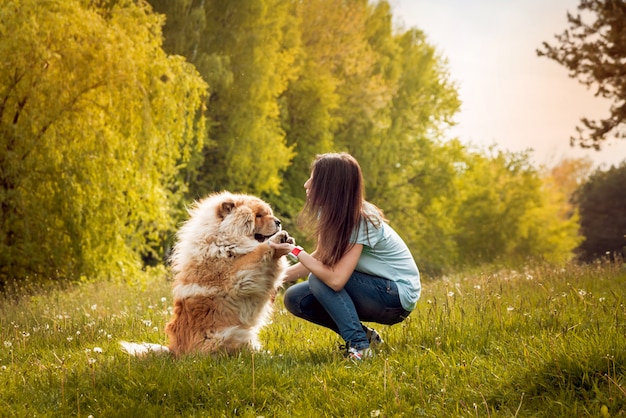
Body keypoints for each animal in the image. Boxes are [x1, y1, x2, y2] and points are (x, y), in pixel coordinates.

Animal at [121, 192, 292, 356]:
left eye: (269, 213)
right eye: (258, 215)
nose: (278, 222)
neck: (223, 239)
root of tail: (175, 351)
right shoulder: (234, 274)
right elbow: (256, 253)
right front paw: (276, 240)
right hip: (230, 335)